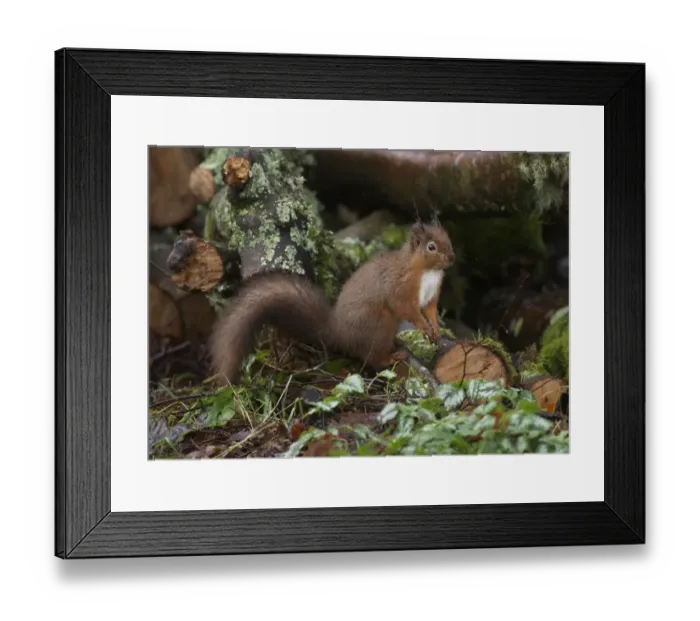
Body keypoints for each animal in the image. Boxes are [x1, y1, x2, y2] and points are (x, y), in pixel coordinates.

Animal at [209, 221, 455, 384]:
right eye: (431, 247)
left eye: (448, 239)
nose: (452, 257)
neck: (427, 271)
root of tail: (339, 333)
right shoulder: (399, 288)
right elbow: (407, 310)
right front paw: (424, 327)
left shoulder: (431, 297)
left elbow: (430, 311)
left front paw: (436, 329)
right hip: (379, 322)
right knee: (371, 358)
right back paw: (391, 357)